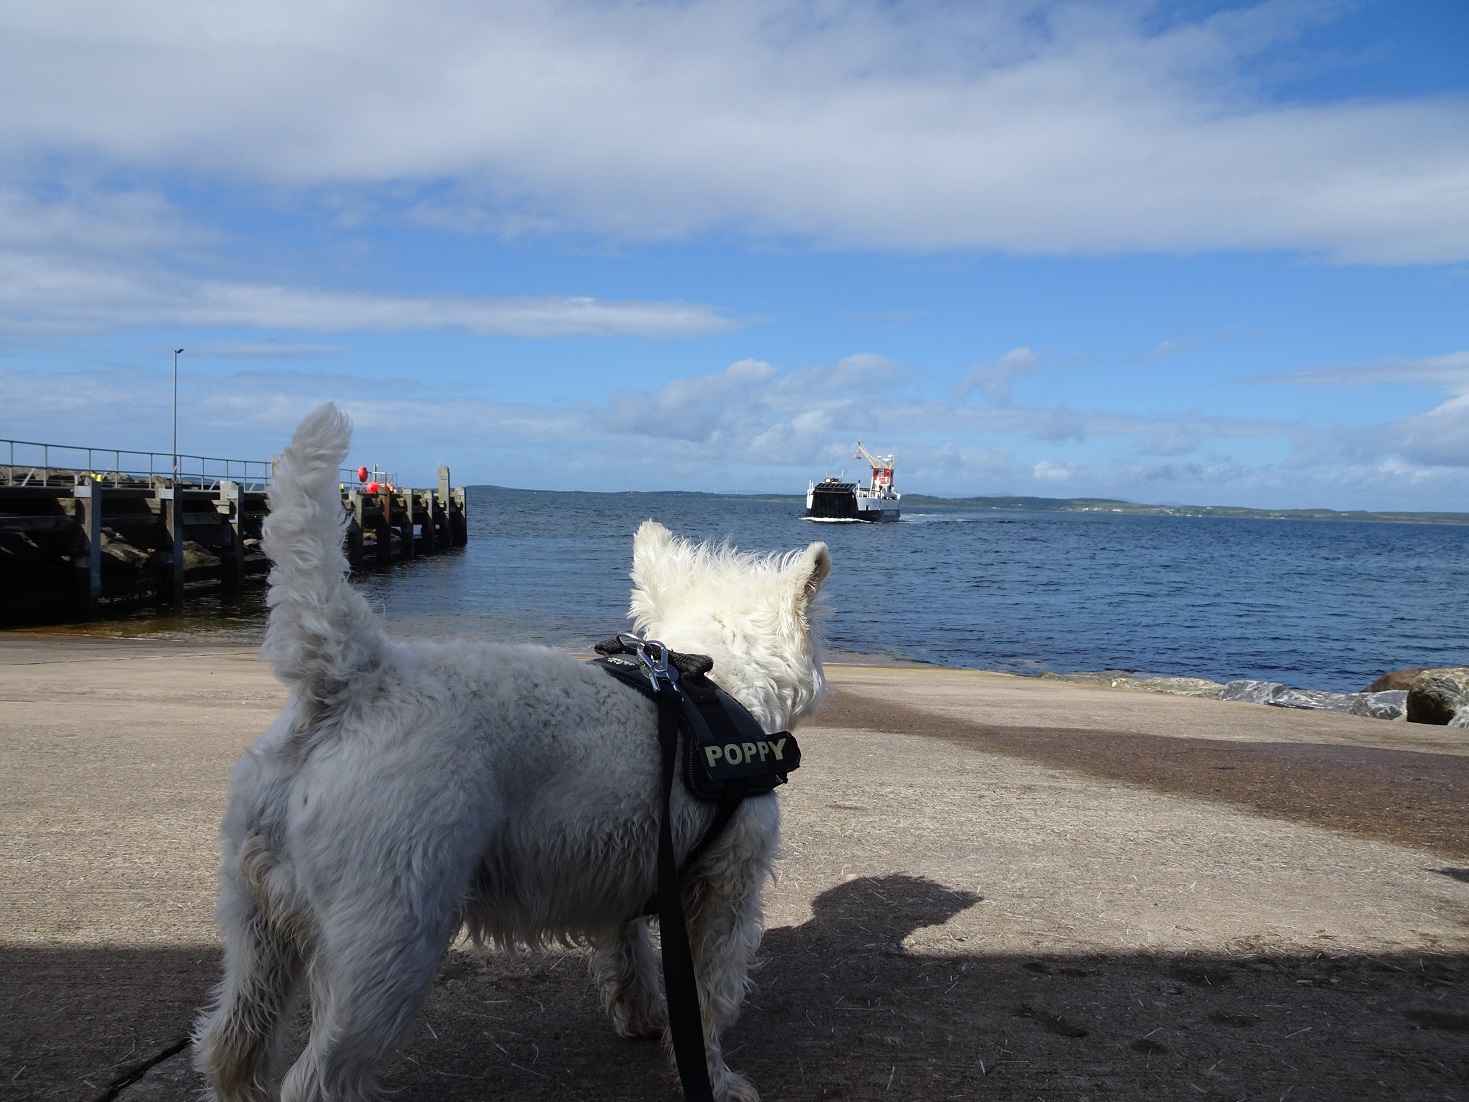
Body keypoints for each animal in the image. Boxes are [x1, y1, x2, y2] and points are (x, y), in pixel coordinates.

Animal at [190, 405, 834, 1102]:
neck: (703, 683)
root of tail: (351, 682)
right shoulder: (725, 889)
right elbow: (712, 997)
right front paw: (714, 1078)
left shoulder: (633, 867)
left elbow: (628, 951)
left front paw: (642, 1015)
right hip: (388, 940)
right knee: (315, 1079)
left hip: (257, 920)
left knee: (229, 1047)